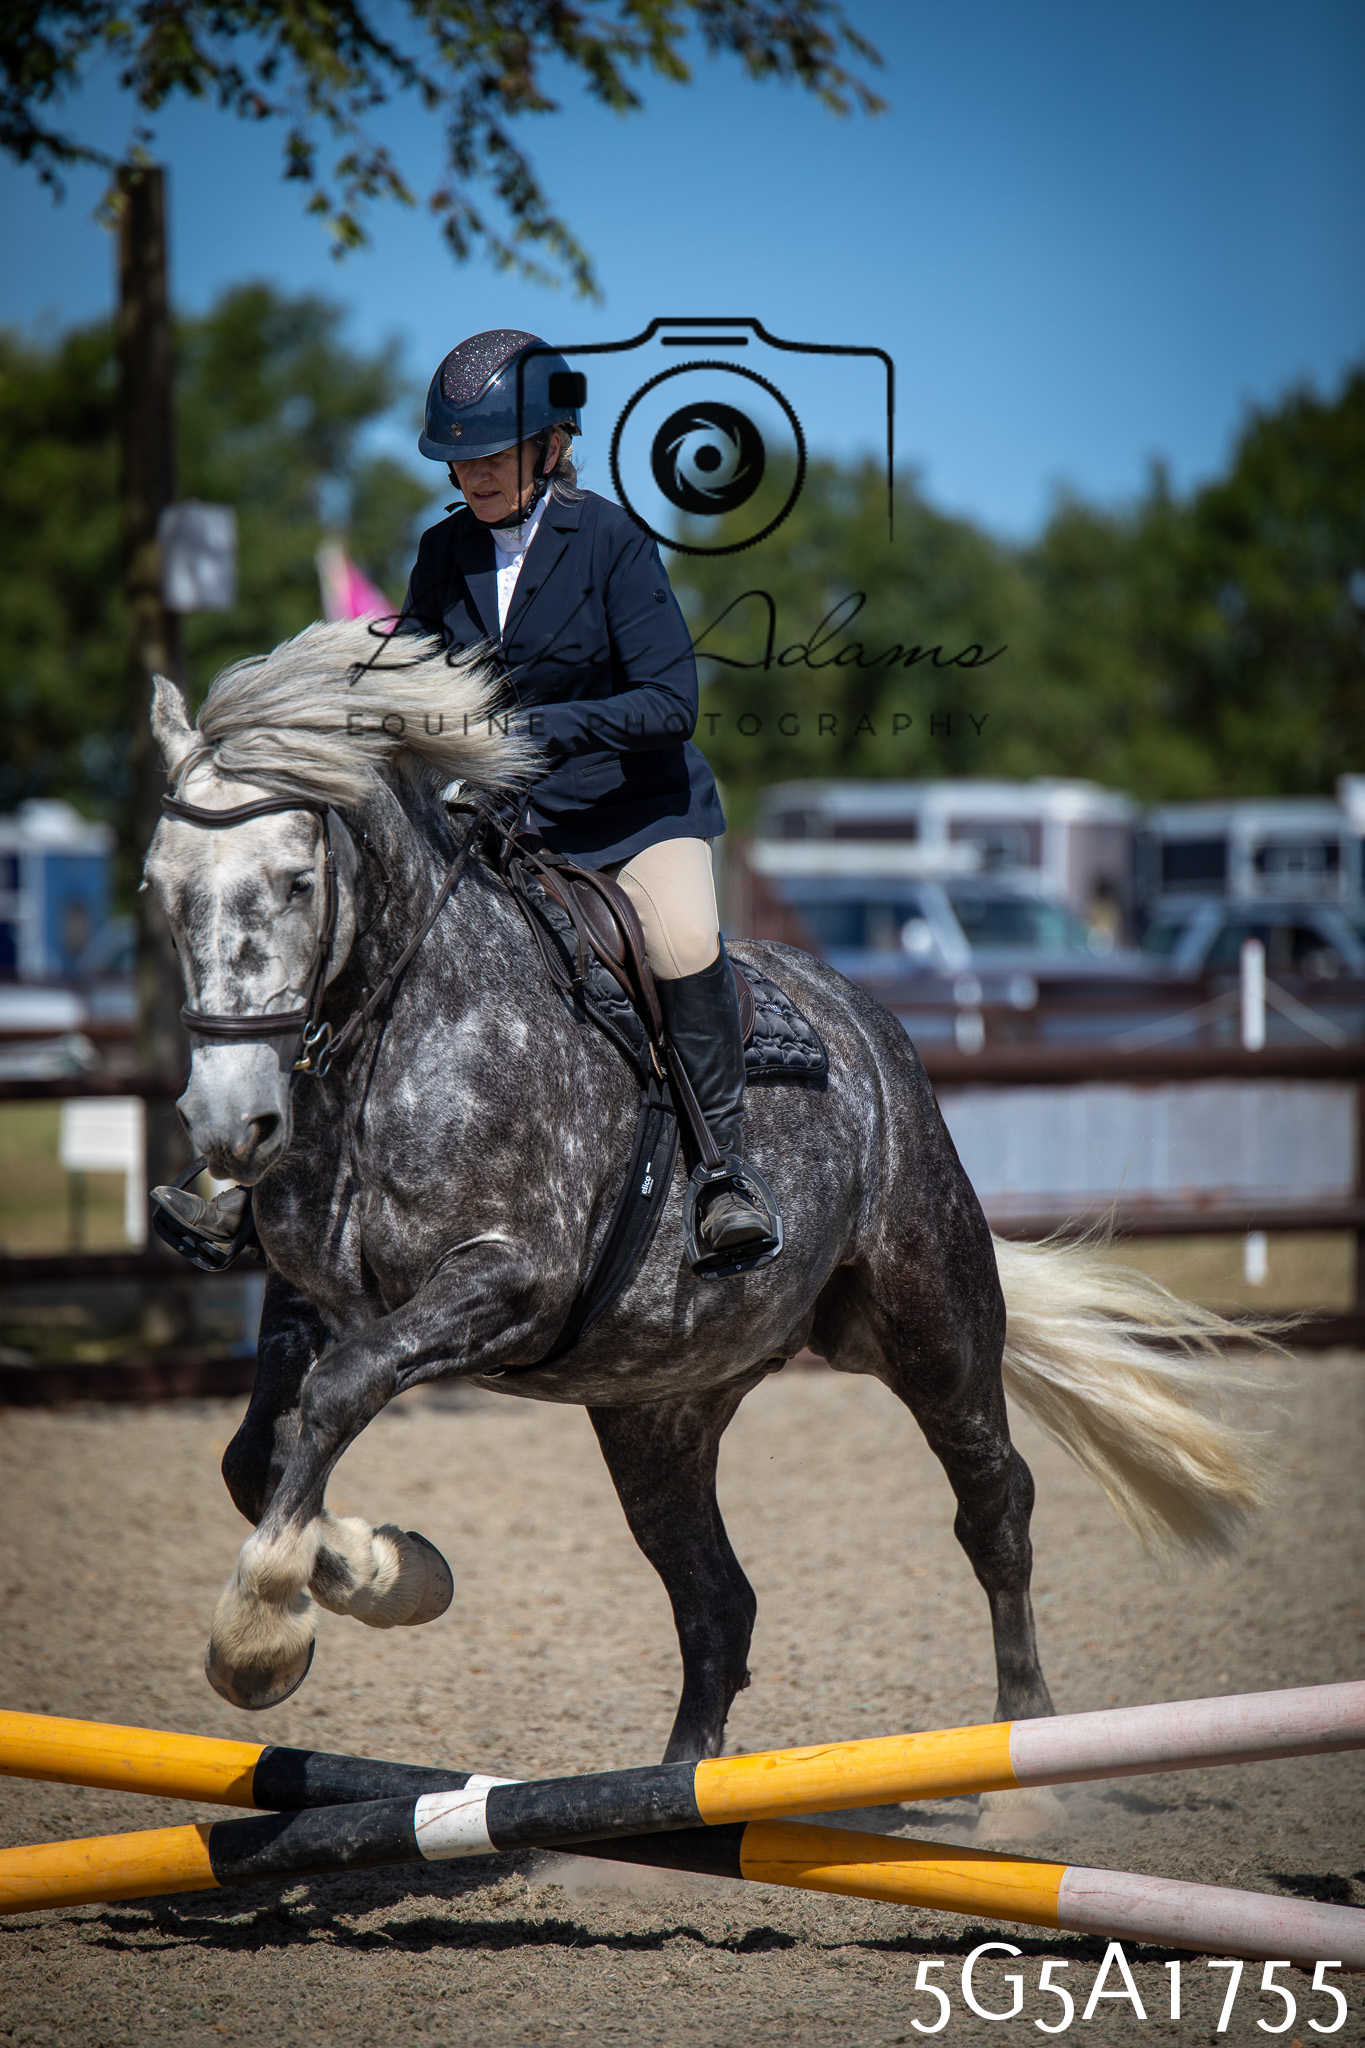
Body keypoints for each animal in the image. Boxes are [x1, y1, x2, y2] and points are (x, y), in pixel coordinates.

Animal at [142, 618, 1271, 1763]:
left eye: (295, 879)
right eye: (160, 885)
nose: (232, 1123)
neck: (400, 1038)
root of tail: (872, 1029)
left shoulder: (511, 1282)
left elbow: (335, 1394)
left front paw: (262, 1633)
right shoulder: (314, 1296)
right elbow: (257, 1452)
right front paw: (388, 1570)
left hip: (933, 1326)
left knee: (994, 1506)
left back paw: (1025, 1735)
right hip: (659, 1406)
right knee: (715, 1600)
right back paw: (676, 1786)